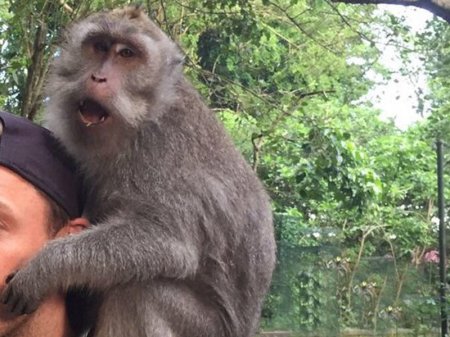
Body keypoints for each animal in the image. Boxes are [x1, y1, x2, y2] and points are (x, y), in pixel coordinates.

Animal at [0, 5, 276, 336]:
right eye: (99, 47)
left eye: (127, 54)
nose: (98, 77)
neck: (142, 117)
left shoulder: (163, 149)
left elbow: (168, 243)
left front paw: (43, 268)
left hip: (202, 328)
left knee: (141, 290)